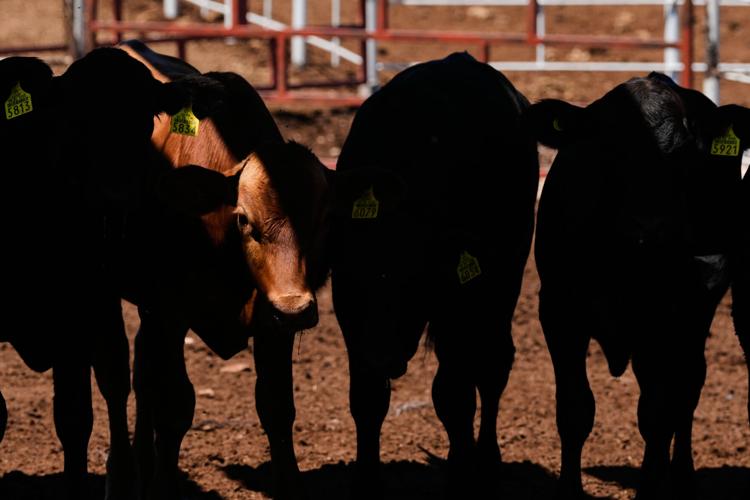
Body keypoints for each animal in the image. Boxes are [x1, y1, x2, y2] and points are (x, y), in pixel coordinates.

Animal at [117, 40, 332, 500]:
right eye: (245, 220)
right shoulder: (169, 314)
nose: (295, 309)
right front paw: (163, 486)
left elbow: (276, 406)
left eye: (324, 219)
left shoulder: (271, 323)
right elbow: (174, 404)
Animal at [330, 52, 539, 498]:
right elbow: (368, 397)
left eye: (413, 277)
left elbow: (454, 394)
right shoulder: (350, 314)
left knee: (493, 365)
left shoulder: (456, 297)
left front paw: (462, 471)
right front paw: (366, 478)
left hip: (502, 283)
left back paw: (486, 461)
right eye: (355, 272)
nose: (384, 353)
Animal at [526, 73, 745, 499]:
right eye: (607, 153)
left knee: (687, 387)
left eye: (682, 155)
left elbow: (658, 414)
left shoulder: (670, 317)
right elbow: (575, 408)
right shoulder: (559, 310)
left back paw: (681, 477)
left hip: (696, 314)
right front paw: (570, 491)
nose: (650, 228)